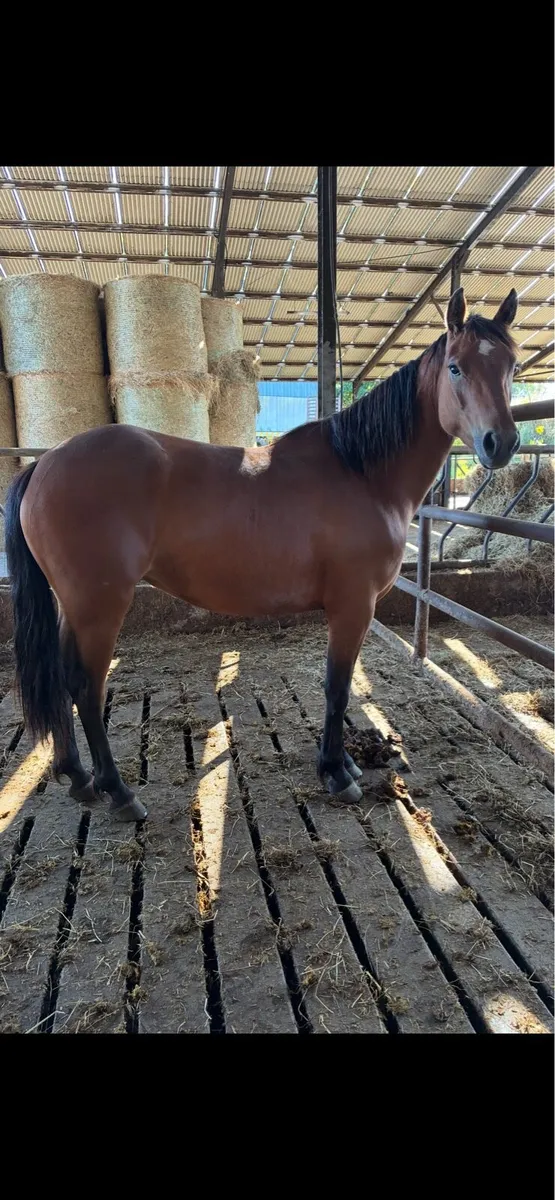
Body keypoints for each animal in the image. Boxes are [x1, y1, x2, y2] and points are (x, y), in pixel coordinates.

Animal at [5, 287, 521, 822]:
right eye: (456, 367)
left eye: (512, 366)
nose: (500, 443)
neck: (361, 472)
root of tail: (46, 462)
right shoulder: (353, 607)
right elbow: (337, 687)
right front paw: (337, 773)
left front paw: (345, 764)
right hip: (100, 606)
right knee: (85, 686)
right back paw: (118, 790)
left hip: (74, 605)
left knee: (61, 677)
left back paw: (78, 777)